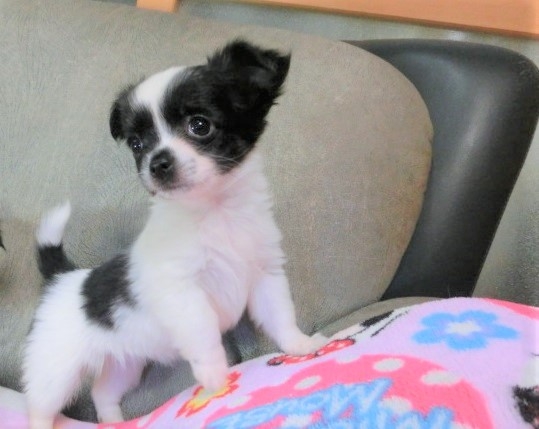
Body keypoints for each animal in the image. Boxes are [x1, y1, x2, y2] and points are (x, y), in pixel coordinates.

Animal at [23, 40, 327, 429]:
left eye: (200, 125)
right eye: (137, 144)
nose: (158, 163)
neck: (215, 213)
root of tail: (65, 278)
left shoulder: (265, 276)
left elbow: (281, 316)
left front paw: (300, 346)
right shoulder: (183, 294)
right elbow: (205, 333)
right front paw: (215, 377)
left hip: (125, 364)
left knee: (103, 391)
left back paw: (114, 421)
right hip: (56, 370)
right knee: (41, 405)